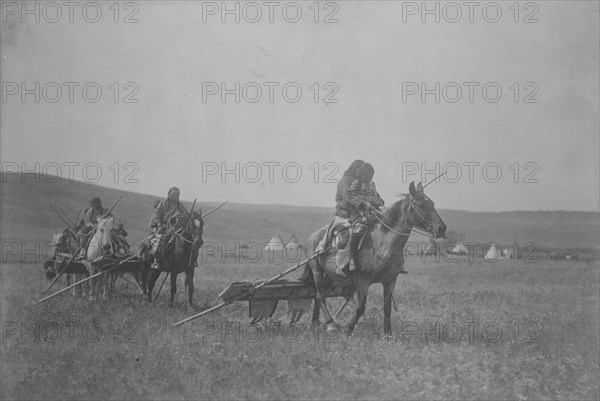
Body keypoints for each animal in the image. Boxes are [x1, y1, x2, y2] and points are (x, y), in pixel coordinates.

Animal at [304, 180, 446, 334]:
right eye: (420, 204)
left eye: (432, 203)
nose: (441, 228)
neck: (382, 246)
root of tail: (312, 236)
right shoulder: (363, 282)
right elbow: (360, 308)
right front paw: (348, 330)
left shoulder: (390, 281)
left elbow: (387, 309)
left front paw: (388, 334)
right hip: (317, 271)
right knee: (320, 296)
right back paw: (330, 324)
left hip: (330, 275)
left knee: (318, 295)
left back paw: (316, 322)